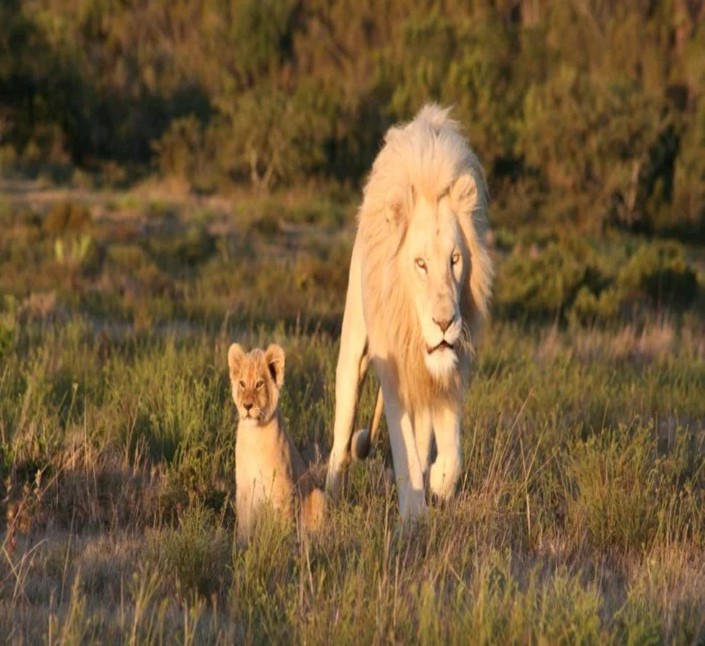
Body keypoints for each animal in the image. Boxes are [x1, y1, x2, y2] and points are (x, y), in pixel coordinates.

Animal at [324, 104, 490, 524]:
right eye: (420, 264)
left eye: (455, 259)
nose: (445, 323)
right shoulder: (393, 363)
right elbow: (404, 450)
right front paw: (414, 515)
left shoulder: (454, 363)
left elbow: (449, 447)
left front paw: (439, 481)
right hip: (353, 346)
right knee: (343, 428)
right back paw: (330, 497)